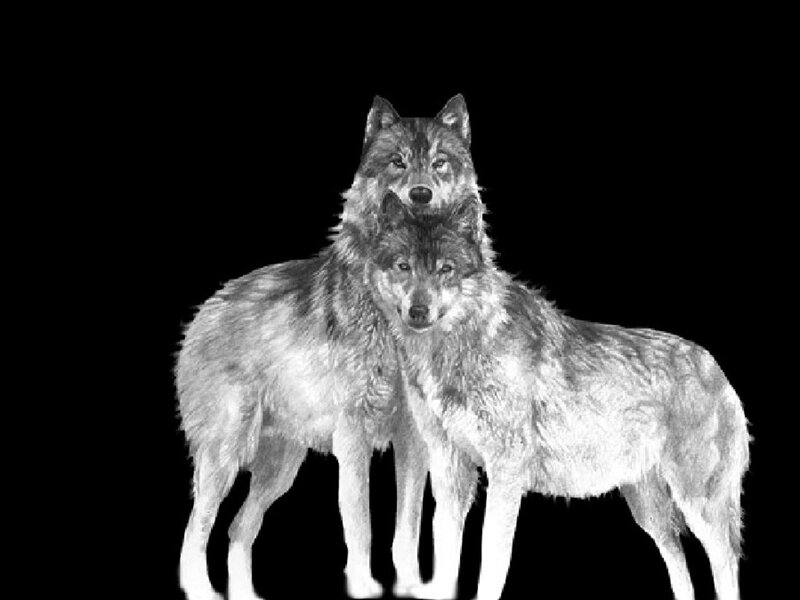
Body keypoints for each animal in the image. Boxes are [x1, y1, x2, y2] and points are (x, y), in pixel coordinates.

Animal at [176, 94, 482, 600]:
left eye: (440, 163)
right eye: (398, 163)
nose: (420, 194)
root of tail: (207, 307)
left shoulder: (414, 438)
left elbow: (408, 526)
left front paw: (412, 586)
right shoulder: (352, 436)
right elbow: (361, 522)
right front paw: (363, 584)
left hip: (280, 469)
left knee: (238, 529)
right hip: (226, 456)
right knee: (196, 528)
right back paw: (201, 590)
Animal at [368, 194, 751, 600]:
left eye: (446, 269)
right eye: (403, 266)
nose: (418, 311)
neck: (463, 345)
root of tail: (715, 368)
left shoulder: (506, 472)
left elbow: (492, 562)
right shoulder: (449, 468)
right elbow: (445, 553)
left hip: (699, 505)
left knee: (725, 561)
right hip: (649, 511)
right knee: (679, 560)